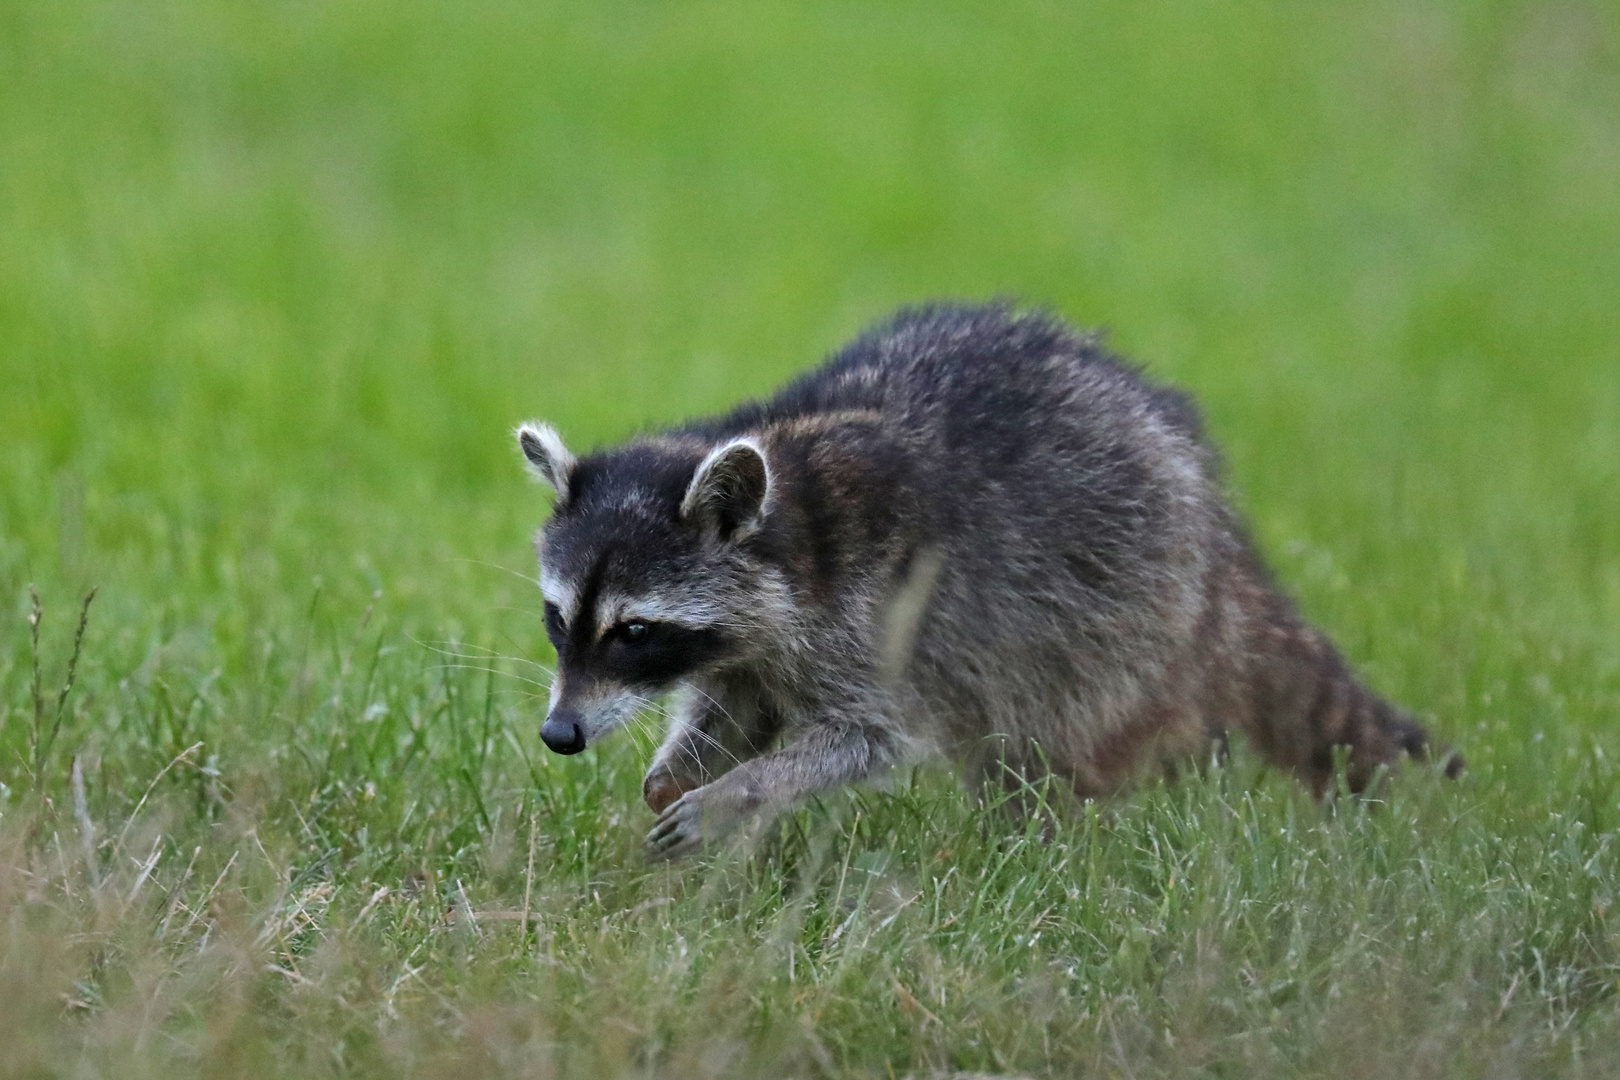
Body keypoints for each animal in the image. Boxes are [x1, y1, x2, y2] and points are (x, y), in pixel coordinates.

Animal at [515, 304, 1458, 861]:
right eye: (559, 621)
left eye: (634, 631)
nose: (560, 734)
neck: (790, 517)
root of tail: (1216, 529)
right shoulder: (751, 645)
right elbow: (733, 709)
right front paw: (682, 767)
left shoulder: (874, 618)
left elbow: (868, 739)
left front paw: (743, 792)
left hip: (1116, 609)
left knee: (1045, 740)